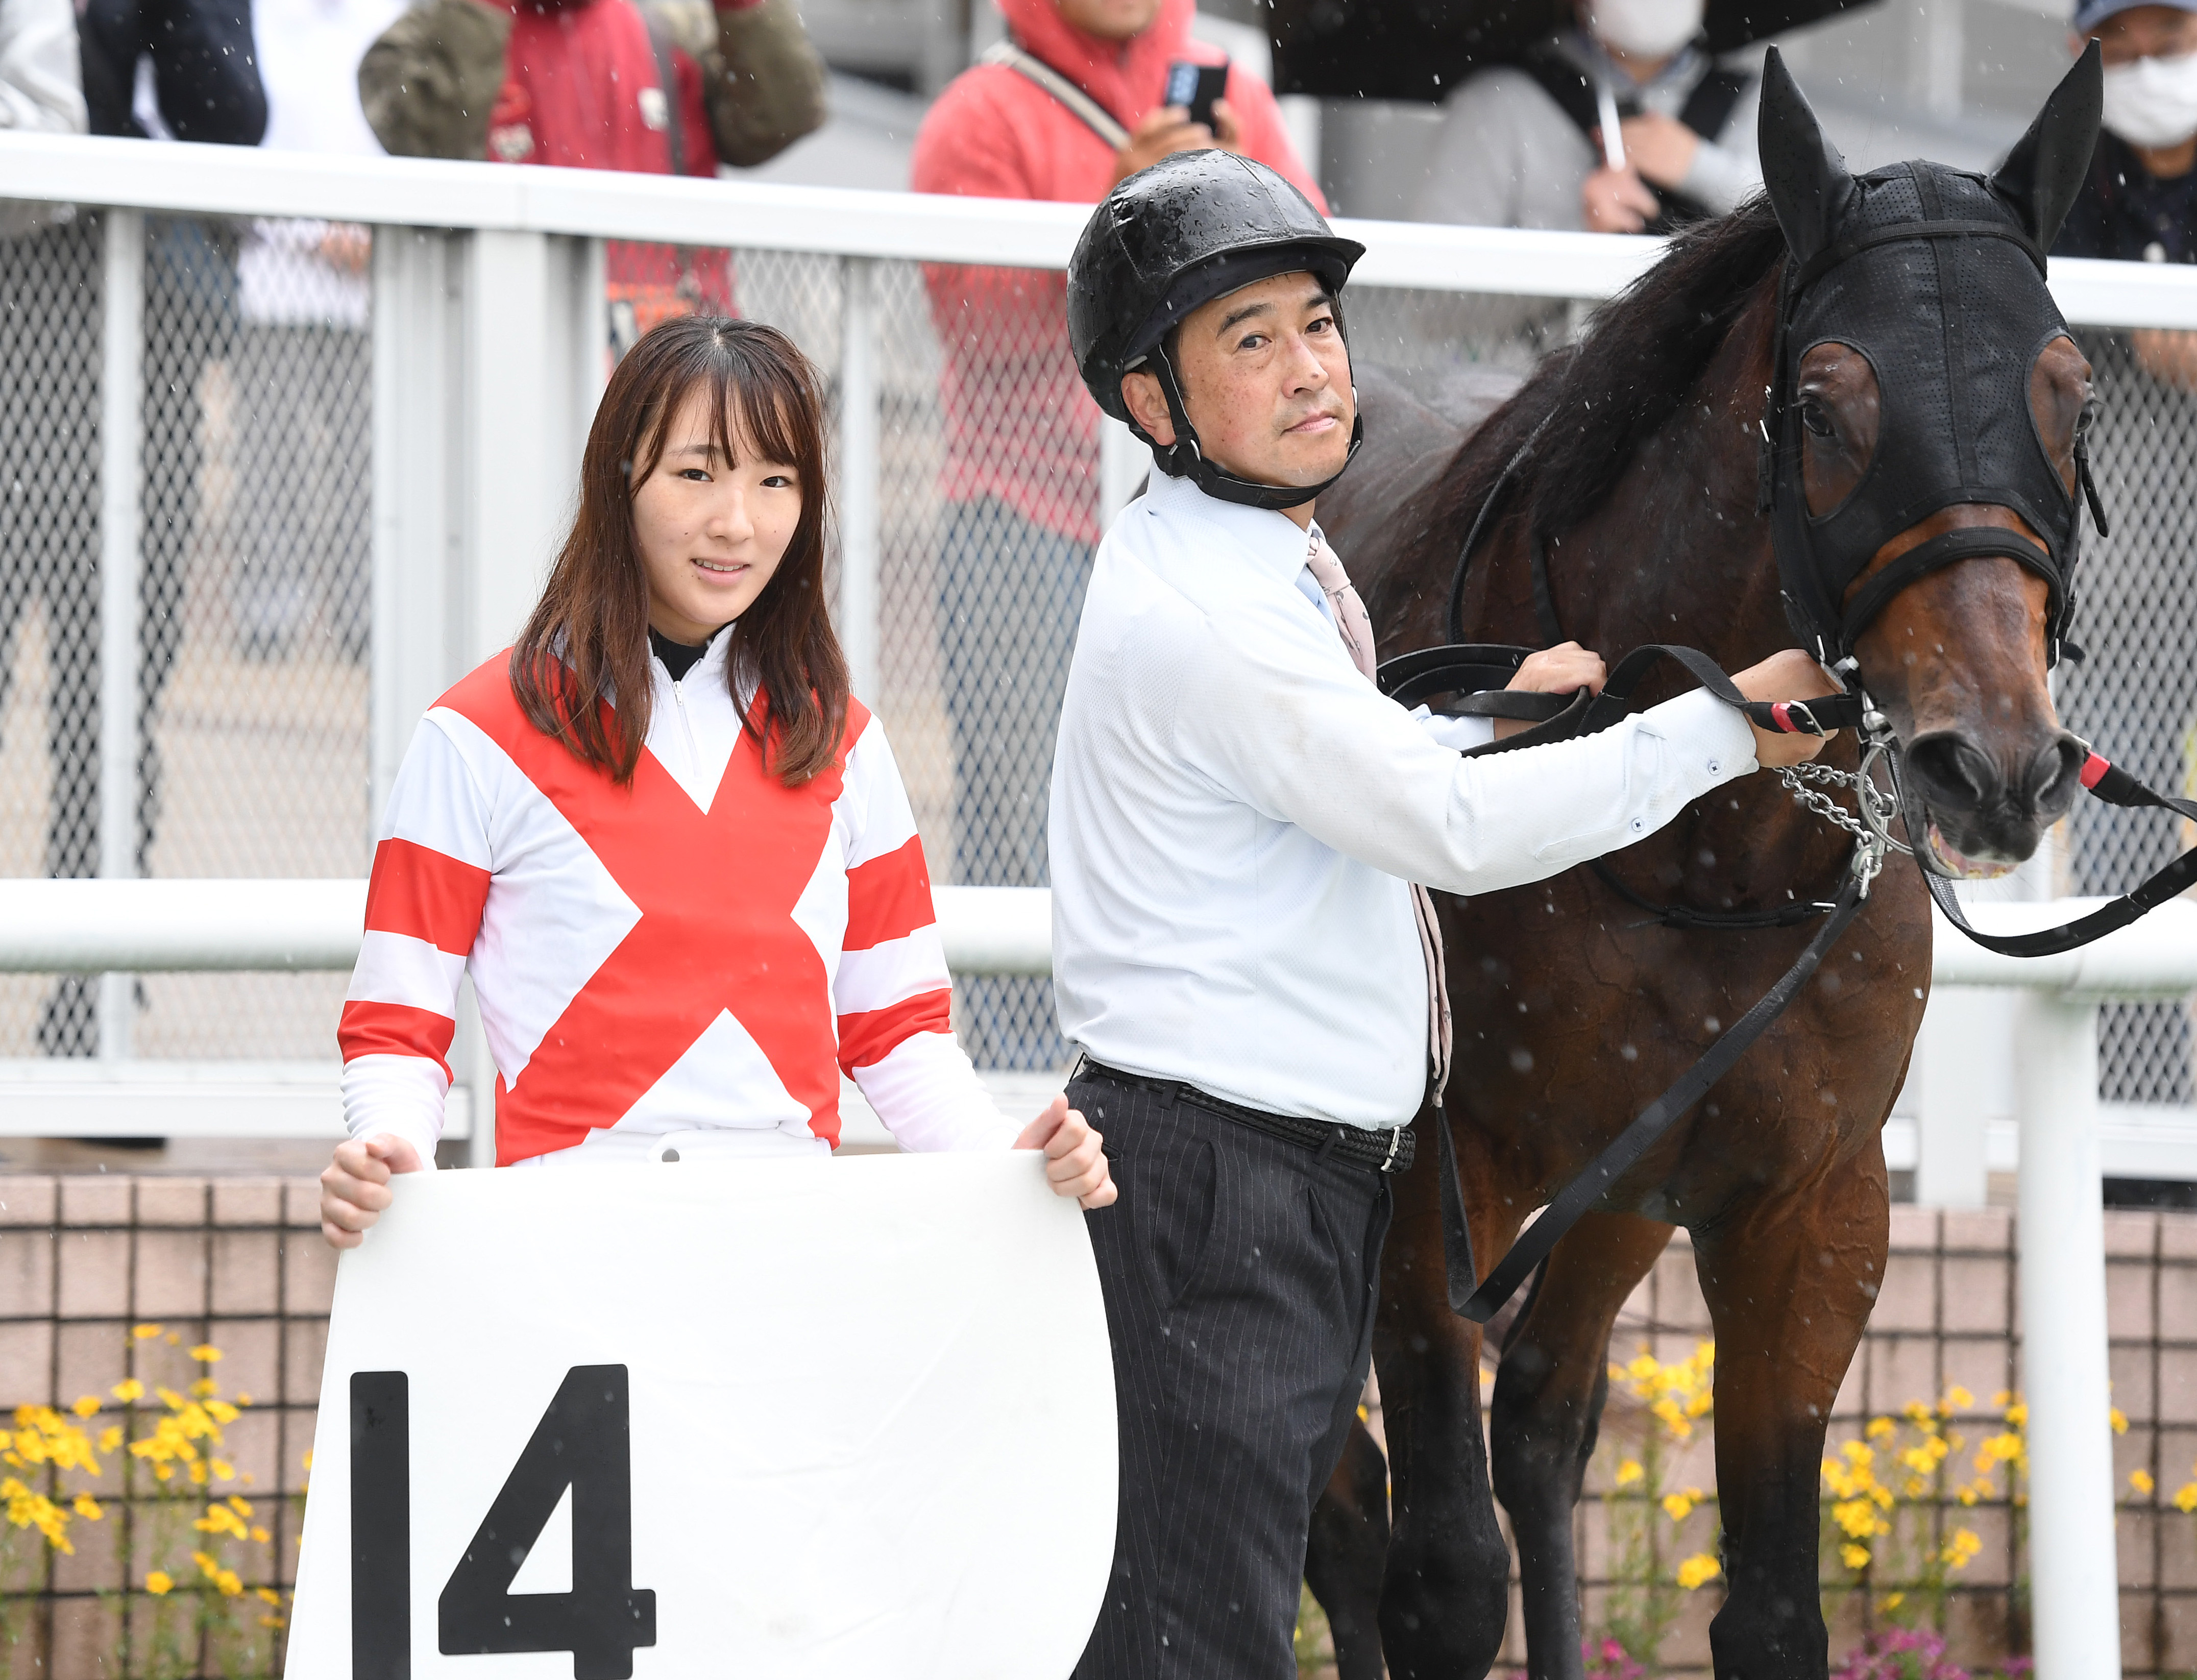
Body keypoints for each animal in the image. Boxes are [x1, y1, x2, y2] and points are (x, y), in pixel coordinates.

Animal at [1291, 52, 2100, 1677]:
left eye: (2069, 394)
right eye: (1825, 404)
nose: (1993, 764)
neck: (1692, 850)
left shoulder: (1802, 1203)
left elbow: (1774, 1603)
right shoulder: (1427, 1182)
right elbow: (1437, 1571)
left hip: (1619, 1188)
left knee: (1544, 1420)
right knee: (1332, 1497)